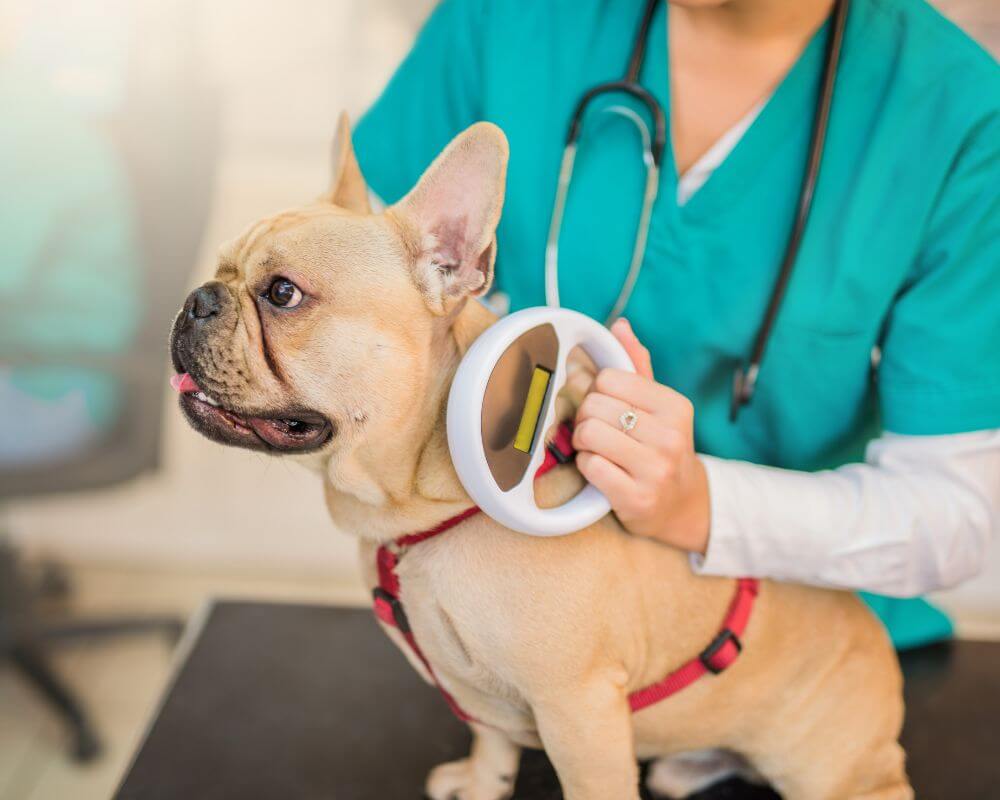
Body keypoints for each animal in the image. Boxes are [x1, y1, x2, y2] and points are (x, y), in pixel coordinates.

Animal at [168, 114, 912, 800]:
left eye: (282, 293)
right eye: (220, 269)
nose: (195, 299)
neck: (422, 511)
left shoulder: (579, 711)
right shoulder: (485, 697)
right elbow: (492, 740)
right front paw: (481, 784)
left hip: (832, 766)